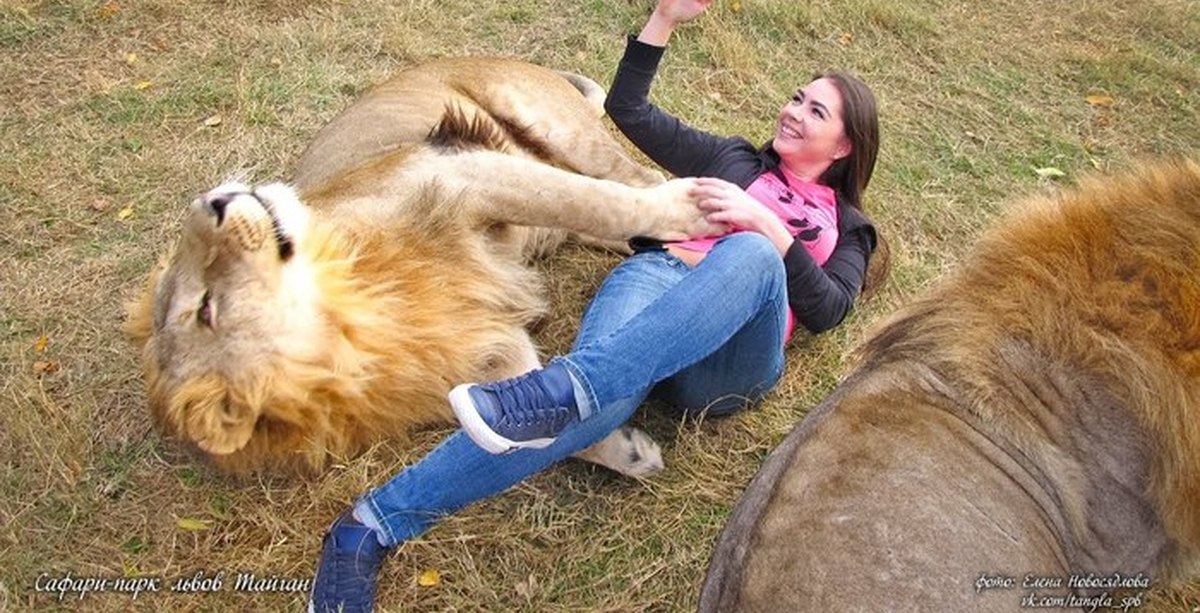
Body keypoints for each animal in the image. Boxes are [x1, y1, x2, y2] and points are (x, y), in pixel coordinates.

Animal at [127, 57, 720, 477]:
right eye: (205, 309)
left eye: (190, 286)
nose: (210, 203)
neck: (357, 305)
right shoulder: (482, 355)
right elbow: (545, 412)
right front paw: (627, 452)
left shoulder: (454, 170)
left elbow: (593, 201)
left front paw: (689, 209)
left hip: (553, 124)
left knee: (632, 182)